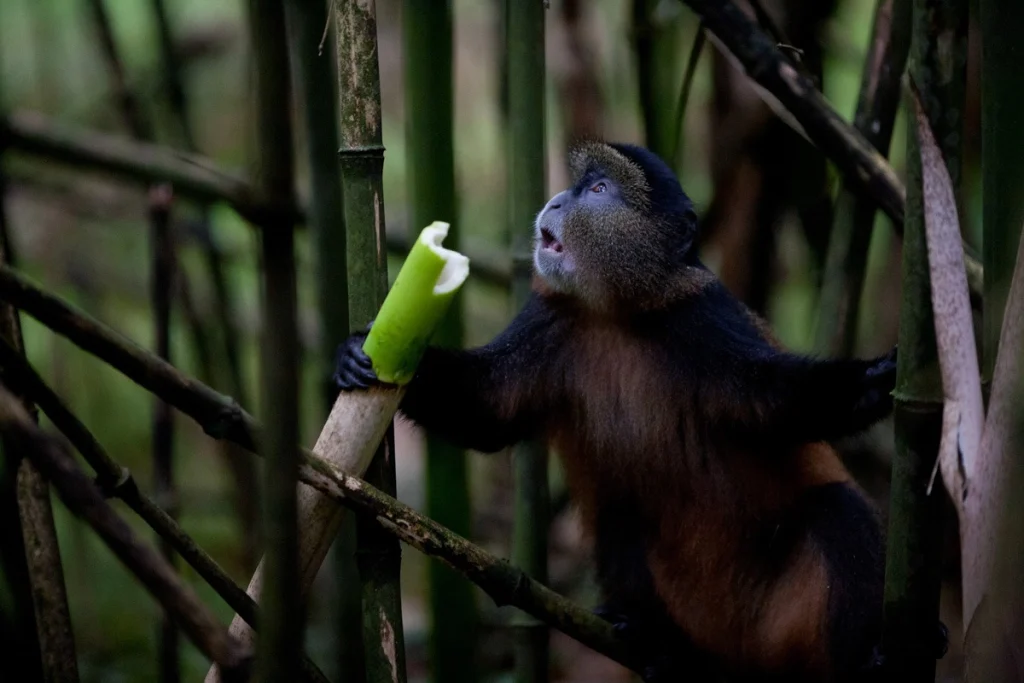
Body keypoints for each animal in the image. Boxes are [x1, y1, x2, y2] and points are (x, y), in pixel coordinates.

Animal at [334, 141, 945, 681]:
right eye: (578, 185)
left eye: (599, 190)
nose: (556, 201)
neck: (618, 315)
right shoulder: (548, 320)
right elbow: (488, 410)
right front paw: (359, 356)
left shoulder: (704, 320)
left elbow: (777, 401)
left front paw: (878, 379)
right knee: (622, 518)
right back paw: (661, 646)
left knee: (837, 510)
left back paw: (875, 661)